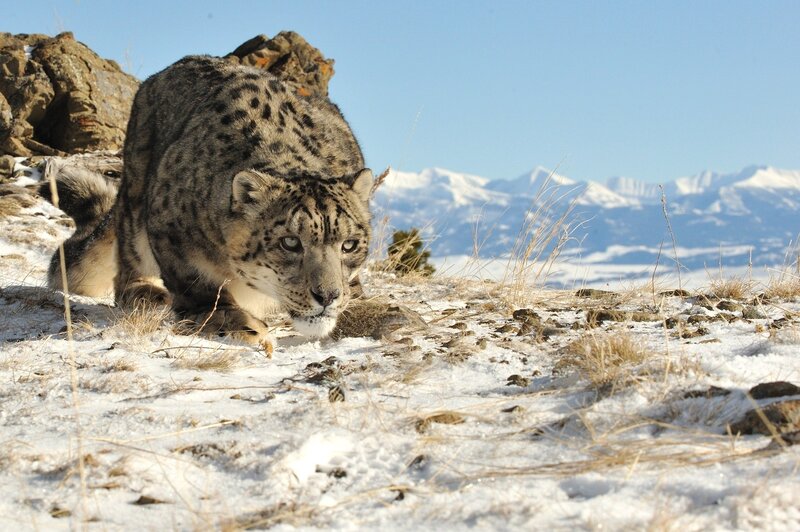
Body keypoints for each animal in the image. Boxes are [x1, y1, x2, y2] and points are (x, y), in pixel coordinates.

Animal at [45, 55, 373, 348]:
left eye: (349, 245)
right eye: (290, 242)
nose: (327, 296)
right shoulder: (168, 227)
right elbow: (198, 285)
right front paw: (240, 323)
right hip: (136, 193)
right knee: (128, 259)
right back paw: (146, 291)